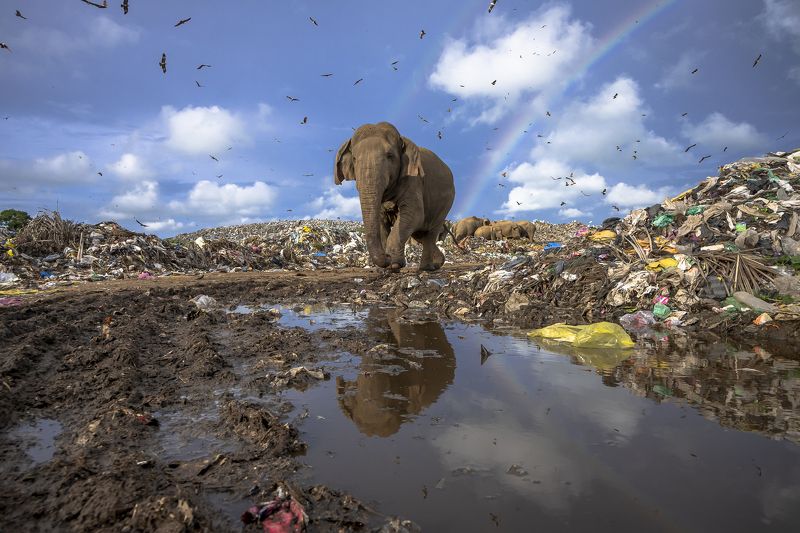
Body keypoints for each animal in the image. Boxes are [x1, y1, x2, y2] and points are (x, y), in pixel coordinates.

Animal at [335, 122, 456, 271]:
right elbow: (381, 221)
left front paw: (394, 264)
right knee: (421, 234)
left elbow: (414, 214)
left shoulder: (413, 180)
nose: (386, 257)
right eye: (354, 159)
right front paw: (386, 267)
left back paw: (426, 268)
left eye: (390, 155)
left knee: (430, 233)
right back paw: (438, 262)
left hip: (446, 204)